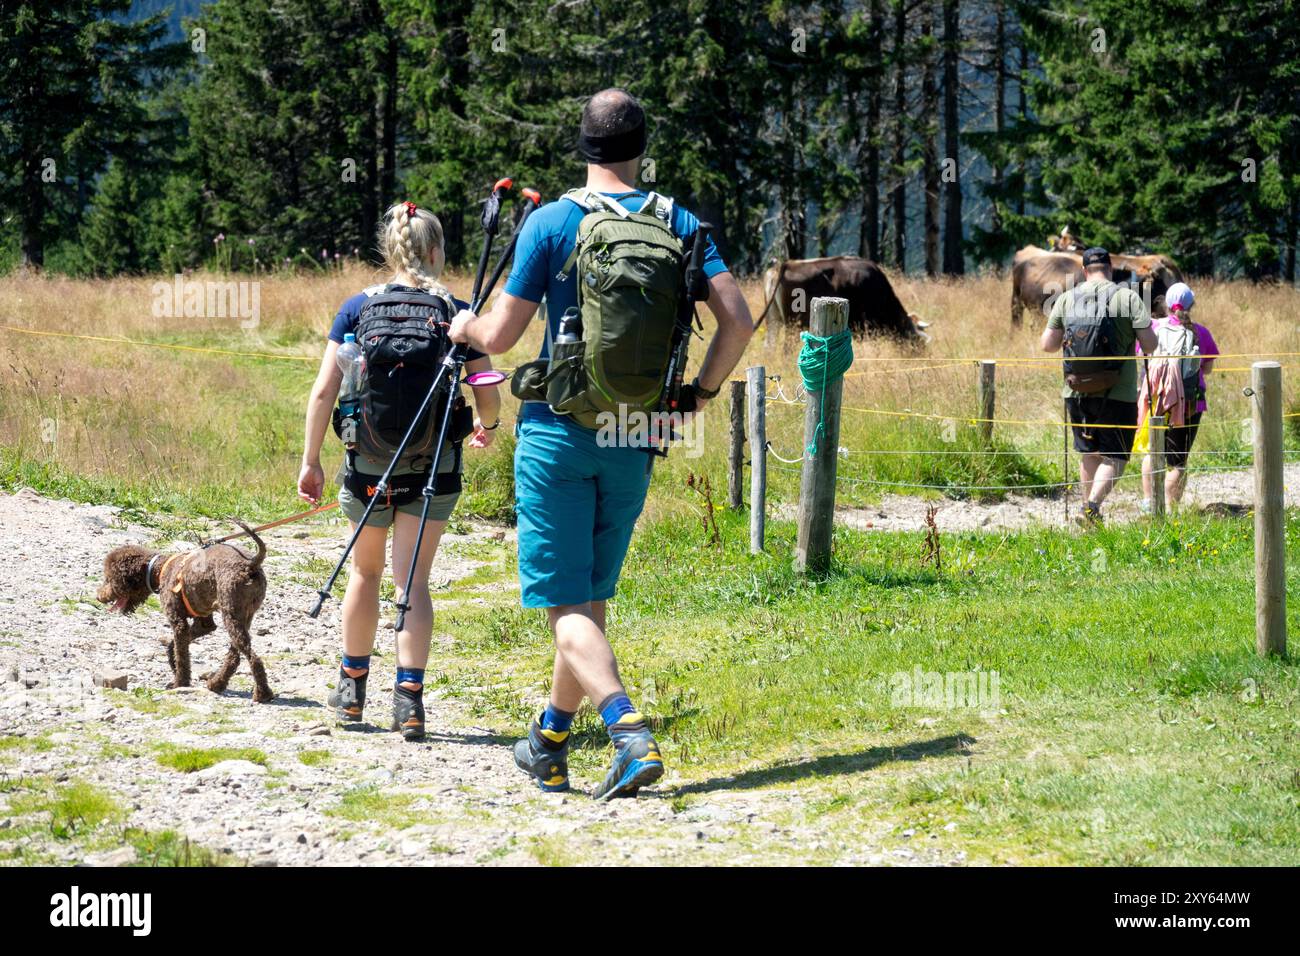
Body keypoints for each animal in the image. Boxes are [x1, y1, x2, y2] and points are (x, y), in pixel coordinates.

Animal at [98, 522, 276, 702]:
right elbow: (175, 647)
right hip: (244, 617)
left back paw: (262, 693)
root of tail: (250, 565)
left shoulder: (178, 622)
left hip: (231, 614)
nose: (99, 597)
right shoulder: (204, 623)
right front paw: (173, 665)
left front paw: (179, 683)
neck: (159, 570)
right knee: (235, 655)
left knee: (253, 658)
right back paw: (217, 684)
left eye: (109, 579)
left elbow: (182, 654)